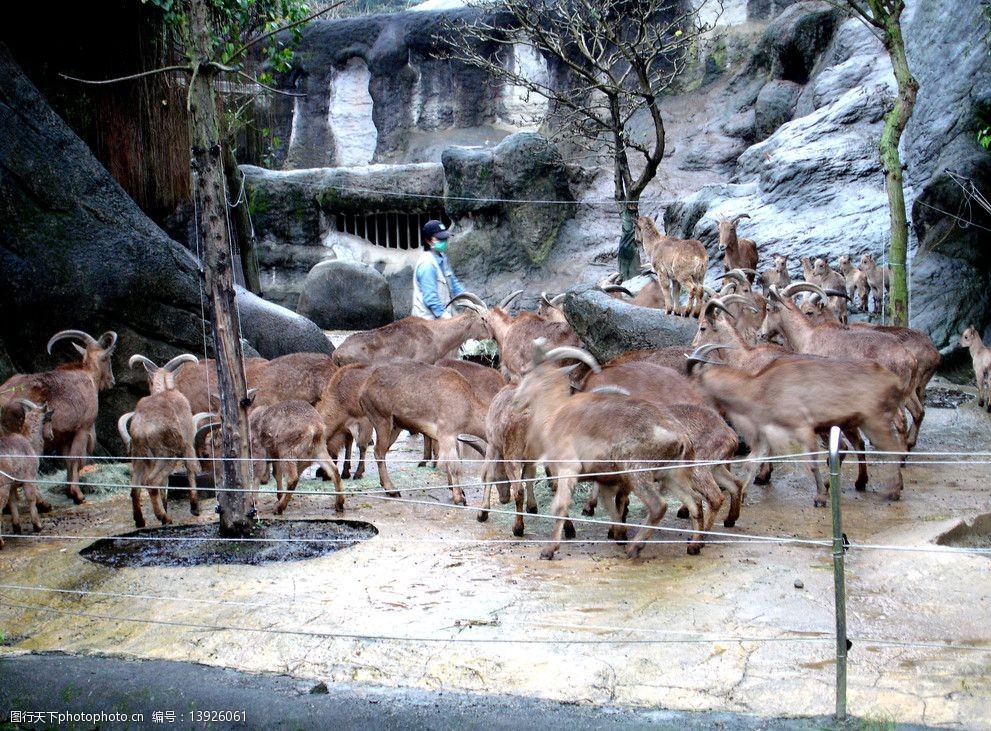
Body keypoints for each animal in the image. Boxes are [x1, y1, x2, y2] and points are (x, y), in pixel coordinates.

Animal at [0, 330, 118, 504]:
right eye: (108, 357)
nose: (112, 381)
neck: (88, 375)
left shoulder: (64, 437)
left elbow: (67, 461)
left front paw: (69, 492)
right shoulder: (83, 429)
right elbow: (75, 459)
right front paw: (78, 495)